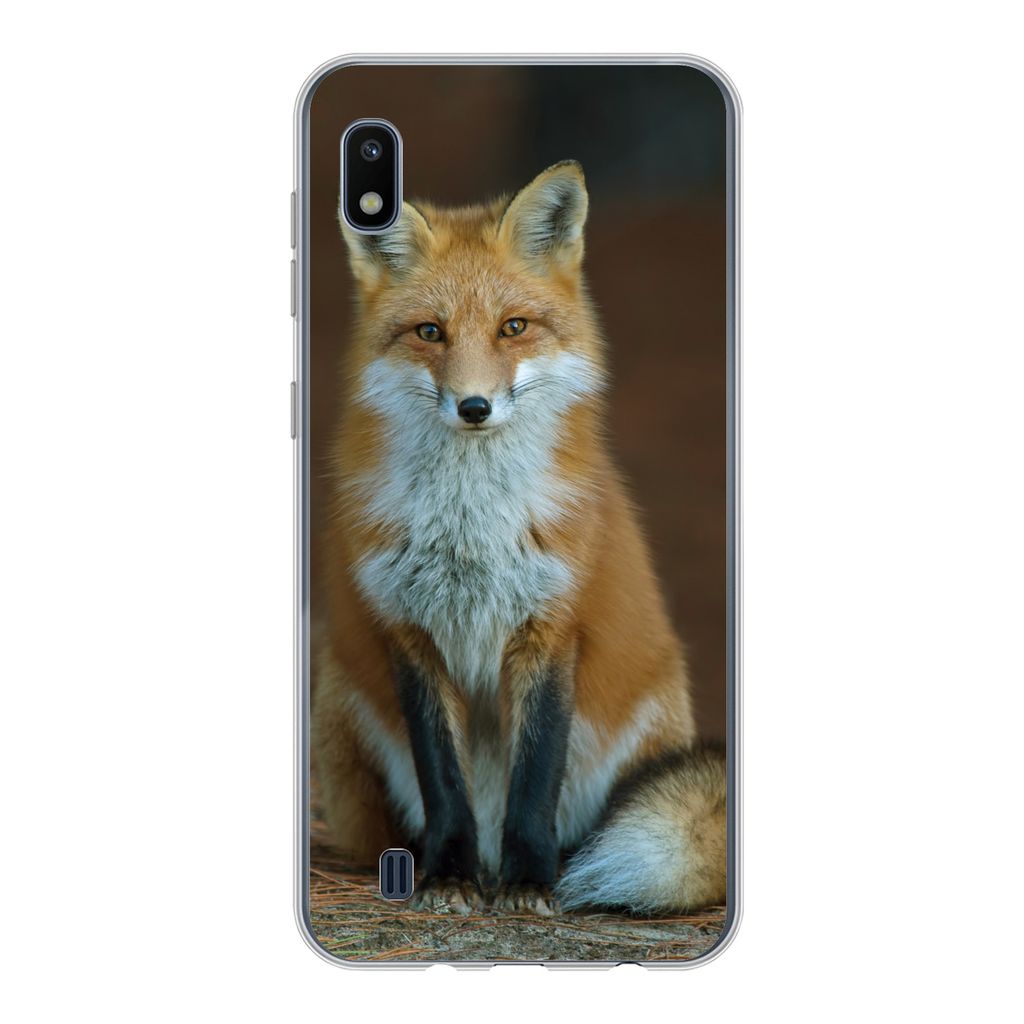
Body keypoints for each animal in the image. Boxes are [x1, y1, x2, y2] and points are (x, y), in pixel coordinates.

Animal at [312, 160, 727, 916]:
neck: (469, 529)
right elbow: (443, 780)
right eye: (430, 331)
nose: (474, 407)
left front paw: (529, 879)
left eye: (513, 327)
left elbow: (534, 776)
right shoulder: (410, 631)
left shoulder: (549, 625)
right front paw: (448, 873)